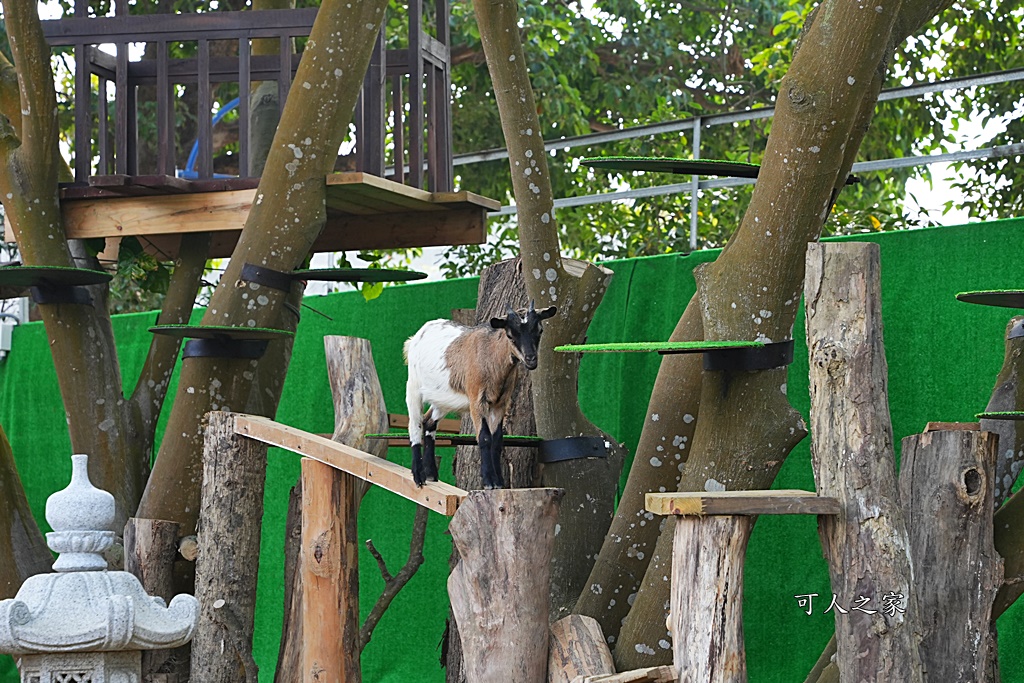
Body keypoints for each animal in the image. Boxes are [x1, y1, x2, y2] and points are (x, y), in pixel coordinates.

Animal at [401, 301, 561, 489]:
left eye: (540, 330)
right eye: (510, 335)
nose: (531, 359)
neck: (491, 357)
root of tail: (416, 337)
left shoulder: (500, 403)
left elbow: (497, 440)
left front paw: (499, 482)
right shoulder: (477, 400)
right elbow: (484, 438)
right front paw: (489, 481)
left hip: (443, 399)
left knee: (428, 422)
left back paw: (431, 473)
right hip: (413, 385)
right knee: (415, 424)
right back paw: (418, 476)